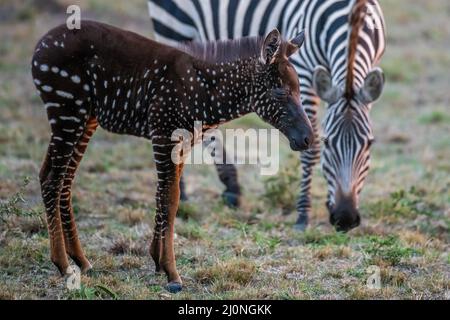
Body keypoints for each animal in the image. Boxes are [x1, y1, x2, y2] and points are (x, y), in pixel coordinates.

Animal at [31, 20, 312, 292]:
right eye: (280, 92)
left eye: (299, 89)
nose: (308, 138)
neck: (206, 93)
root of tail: (41, 44)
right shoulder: (164, 134)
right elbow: (170, 197)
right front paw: (172, 273)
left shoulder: (183, 144)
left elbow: (166, 196)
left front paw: (157, 259)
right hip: (67, 111)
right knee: (52, 179)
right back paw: (63, 264)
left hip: (85, 119)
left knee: (60, 179)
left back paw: (81, 260)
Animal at [149, 0, 386, 231]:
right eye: (328, 143)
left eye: (370, 144)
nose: (345, 218)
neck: (353, 16)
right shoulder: (303, 70)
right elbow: (311, 151)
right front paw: (303, 215)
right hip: (175, 28)